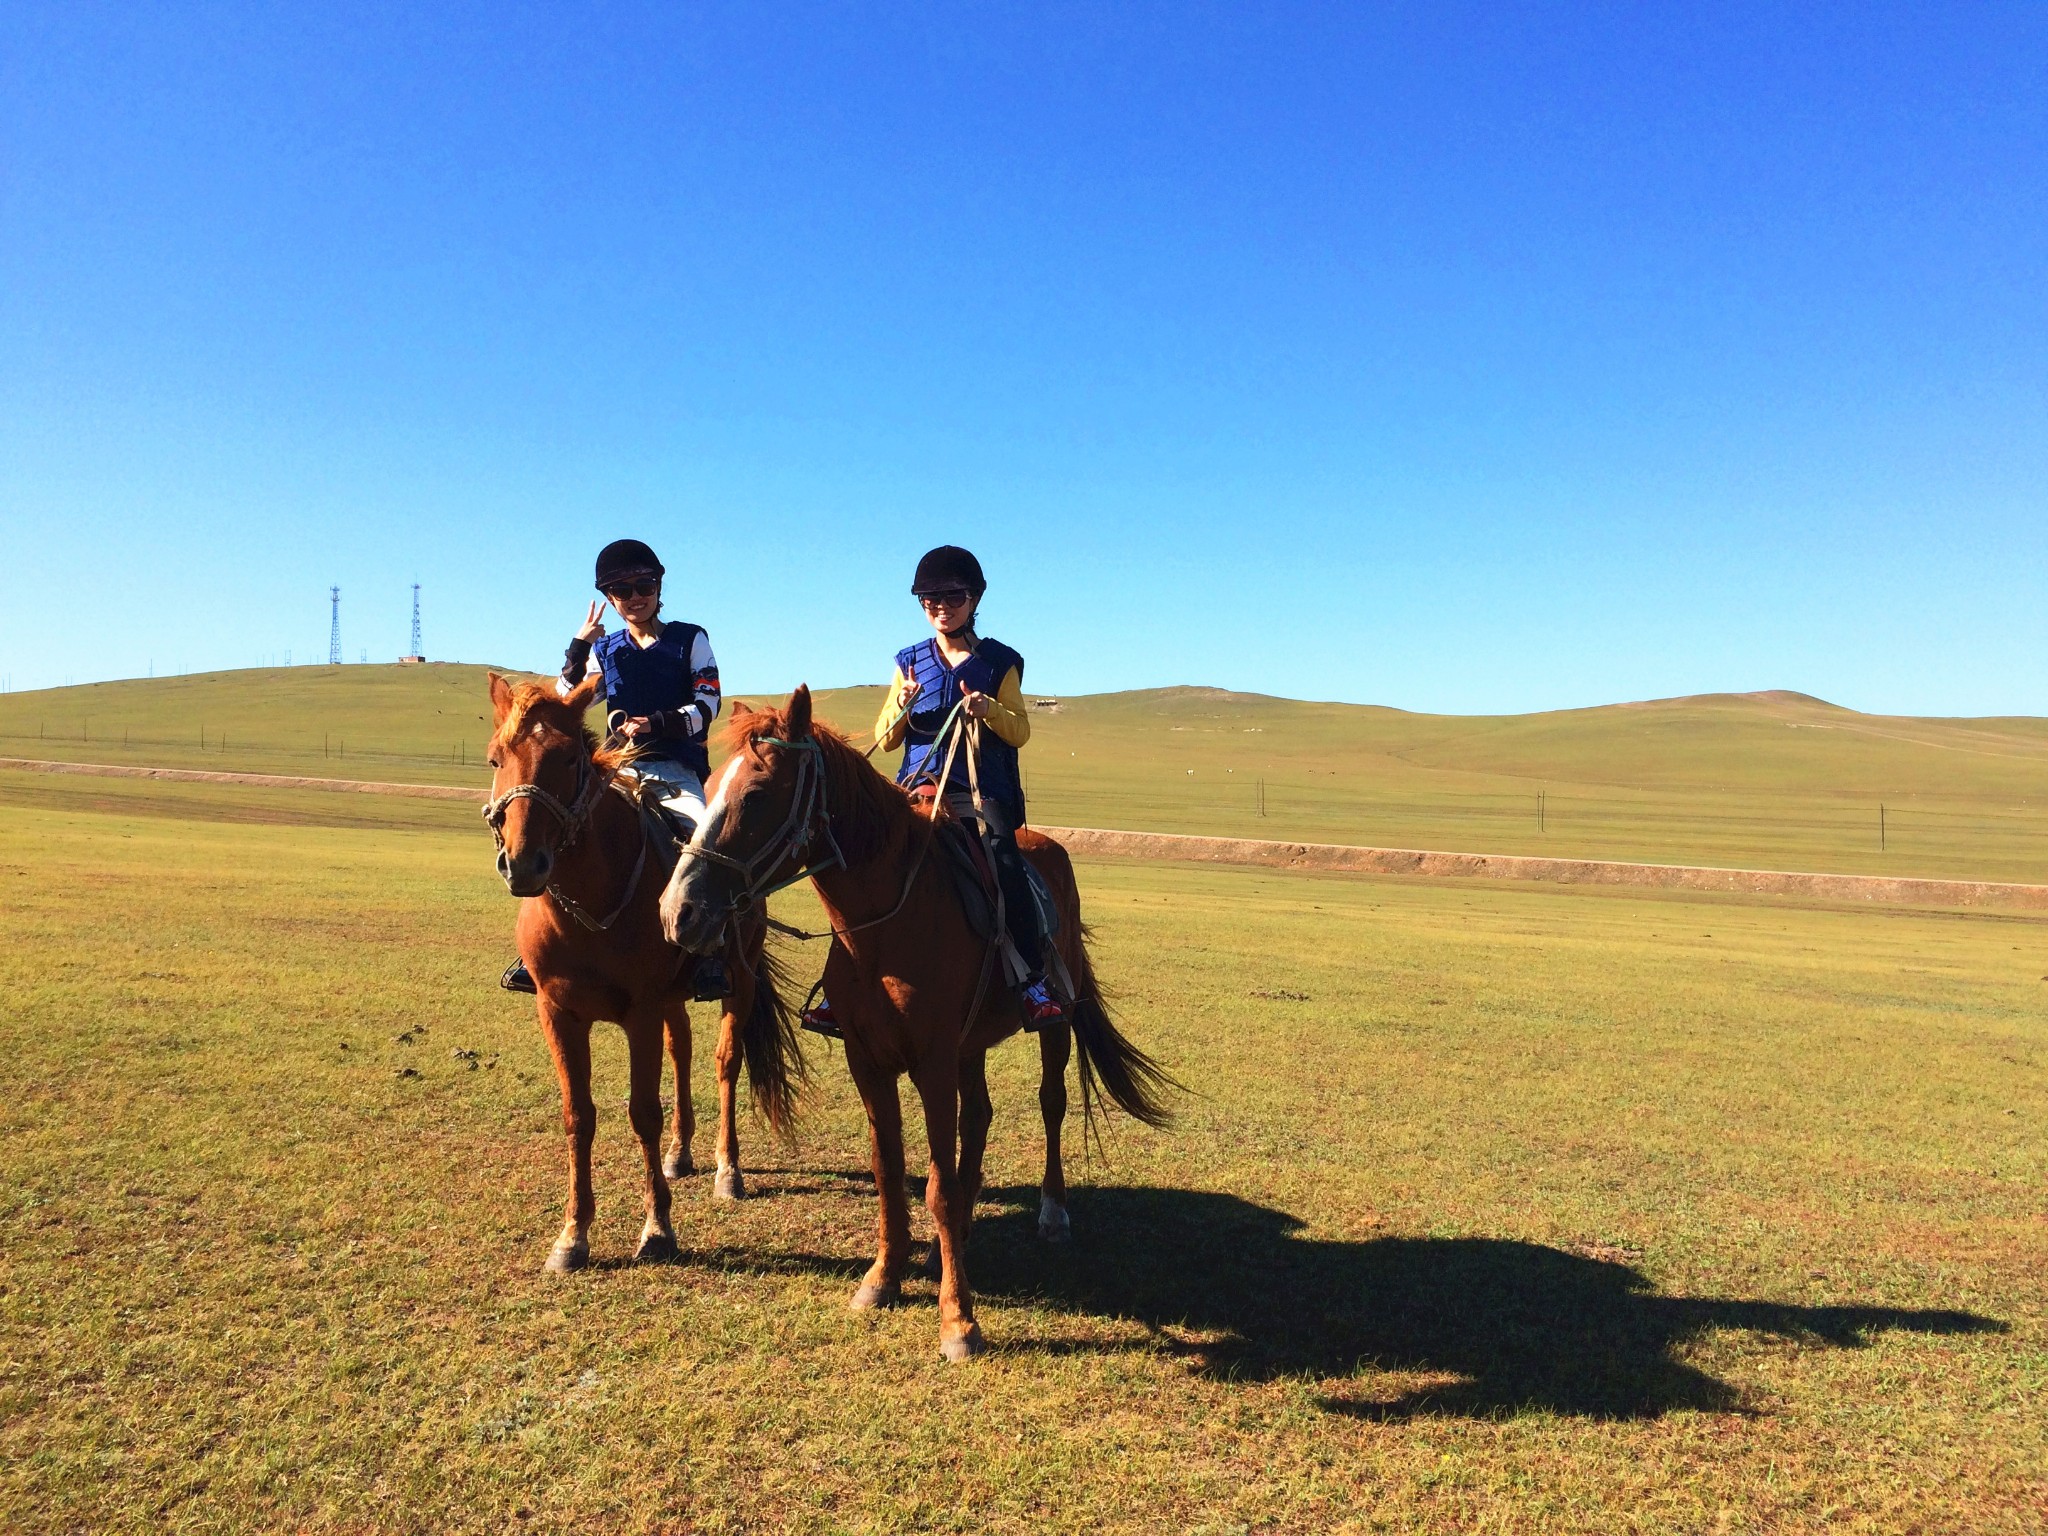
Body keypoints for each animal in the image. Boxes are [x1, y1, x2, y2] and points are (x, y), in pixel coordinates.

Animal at [483, 671, 802, 1277]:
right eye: (495, 759)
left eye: (567, 757)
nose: (523, 864)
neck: (589, 902)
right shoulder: (557, 1013)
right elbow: (578, 1116)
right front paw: (572, 1235)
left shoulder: (642, 1012)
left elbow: (643, 1113)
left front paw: (658, 1229)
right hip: (674, 1000)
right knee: (682, 1051)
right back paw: (681, 1154)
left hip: (740, 978)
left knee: (726, 1062)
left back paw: (728, 1169)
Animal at [655, 692, 1171, 1368]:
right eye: (710, 785)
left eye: (759, 793)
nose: (679, 913)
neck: (882, 929)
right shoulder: (871, 1062)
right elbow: (891, 1169)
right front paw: (885, 1277)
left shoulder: (931, 1063)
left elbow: (940, 1185)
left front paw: (959, 1320)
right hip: (970, 1045)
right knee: (979, 1116)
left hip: (1049, 1026)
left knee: (1052, 1103)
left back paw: (1052, 1212)